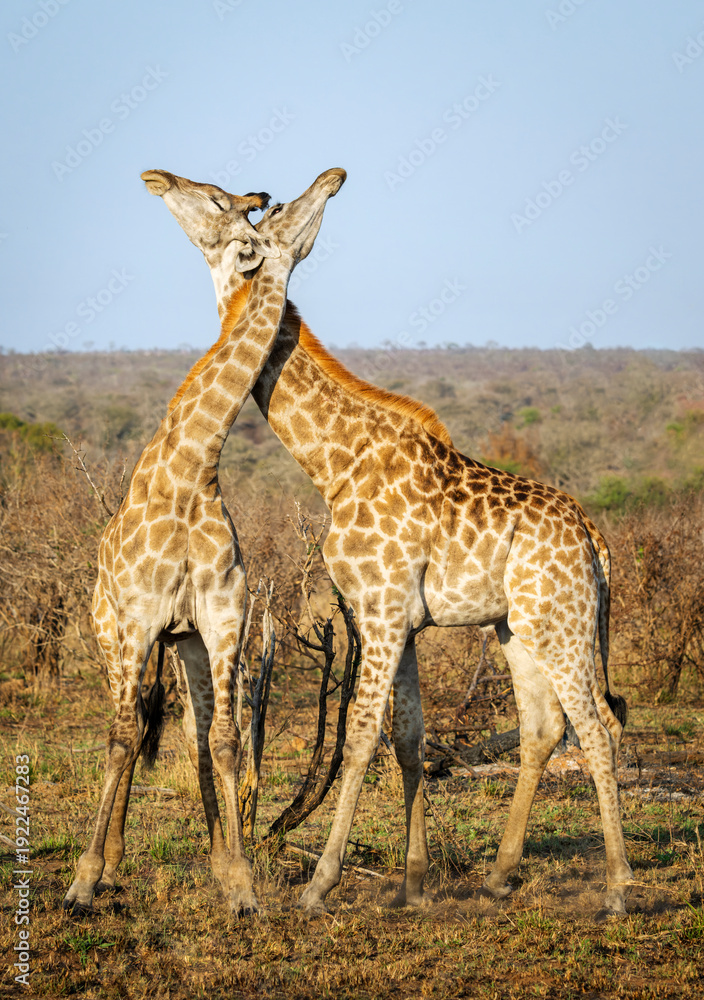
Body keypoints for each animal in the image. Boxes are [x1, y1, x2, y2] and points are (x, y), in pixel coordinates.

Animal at [63, 167, 346, 918]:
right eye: (227, 202)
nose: (155, 177)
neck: (193, 469)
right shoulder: (136, 619)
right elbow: (123, 736)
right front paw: (82, 880)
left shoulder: (221, 618)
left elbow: (222, 739)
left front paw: (239, 882)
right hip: (109, 634)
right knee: (126, 723)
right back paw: (107, 864)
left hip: (181, 641)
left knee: (184, 735)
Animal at [154, 178, 633, 920]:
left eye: (219, 205)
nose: (157, 180)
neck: (335, 462)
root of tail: (595, 539)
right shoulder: (397, 618)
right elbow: (408, 739)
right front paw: (414, 883)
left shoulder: (378, 611)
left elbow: (357, 737)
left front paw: (320, 885)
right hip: (517, 625)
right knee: (544, 726)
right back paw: (500, 876)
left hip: (564, 621)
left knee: (598, 727)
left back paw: (616, 889)